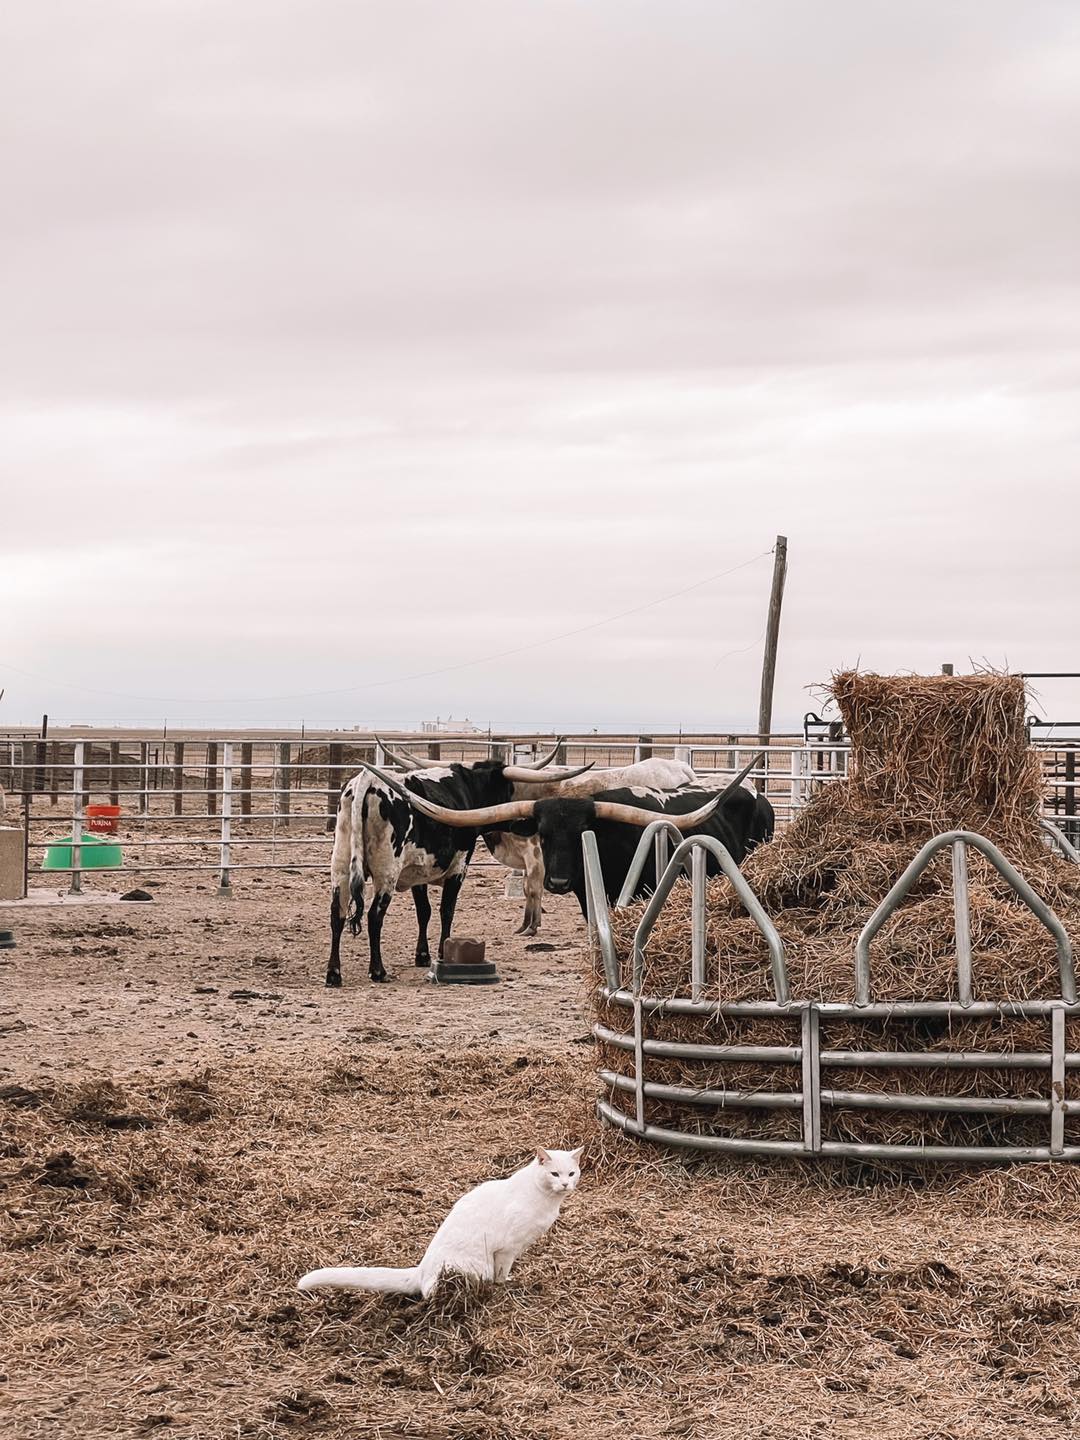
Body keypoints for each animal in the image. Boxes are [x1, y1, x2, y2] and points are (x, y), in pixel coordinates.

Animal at [327, 744, 592, 986]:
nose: (522, 820)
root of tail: (366, 781)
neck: (467, 789)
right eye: (507, 791)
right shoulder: (459, 866)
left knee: (337, 914)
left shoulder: (418, 871)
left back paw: (334, 974)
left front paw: (422, 955)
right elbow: (447, 910)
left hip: (341, 869)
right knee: (374, 916)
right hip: (387, 872)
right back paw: (378, 971)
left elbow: (424, 911)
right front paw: (443, 953)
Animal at [378, 740, 700, 935]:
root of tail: (678, 765)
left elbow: (532, 888)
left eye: (489, 789)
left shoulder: (534, 857)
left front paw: (530, 927)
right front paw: (530, 923)